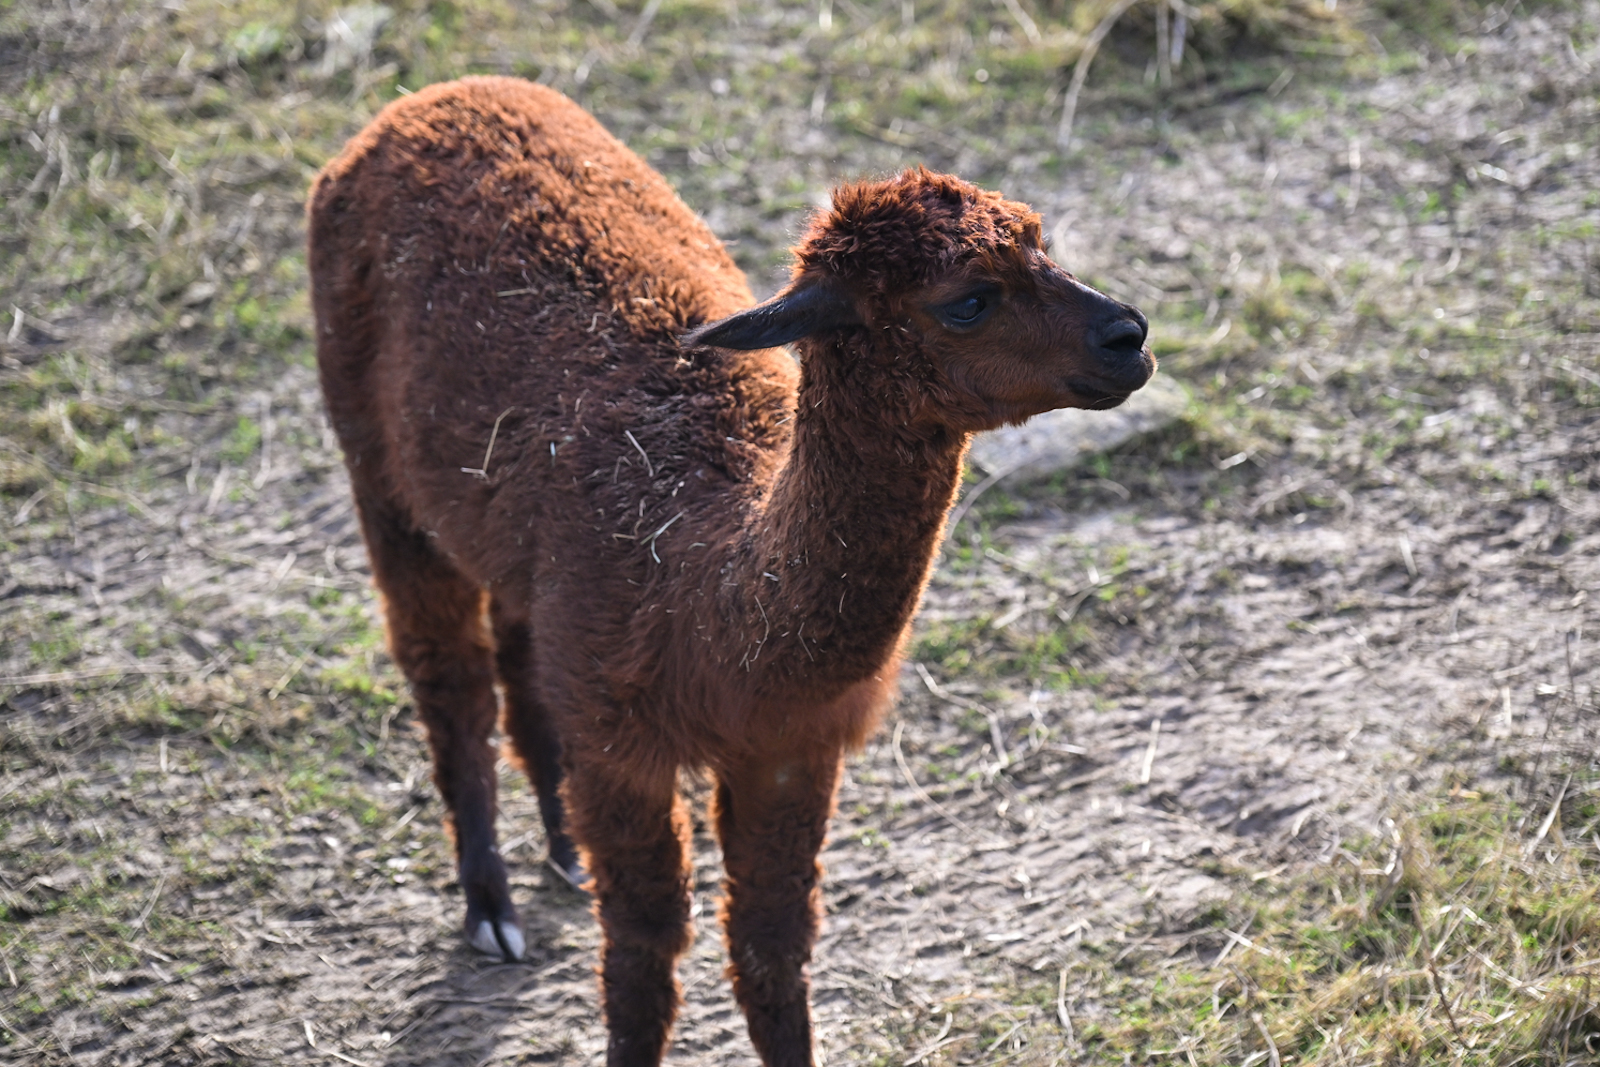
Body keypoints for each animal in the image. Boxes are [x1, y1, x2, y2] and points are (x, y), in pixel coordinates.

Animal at [307, 75, 1152, 1067]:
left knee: (519, 655)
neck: (710, 592)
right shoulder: (622, 749)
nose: (1130, 335)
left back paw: (558, 848)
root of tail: (433, 96)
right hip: (379, 467)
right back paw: (491, 908)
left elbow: (771, 950)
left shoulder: (790, 747)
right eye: (968, 299)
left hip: (513, 542)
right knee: (449, 676)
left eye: (1038, 240)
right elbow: (643, 954)